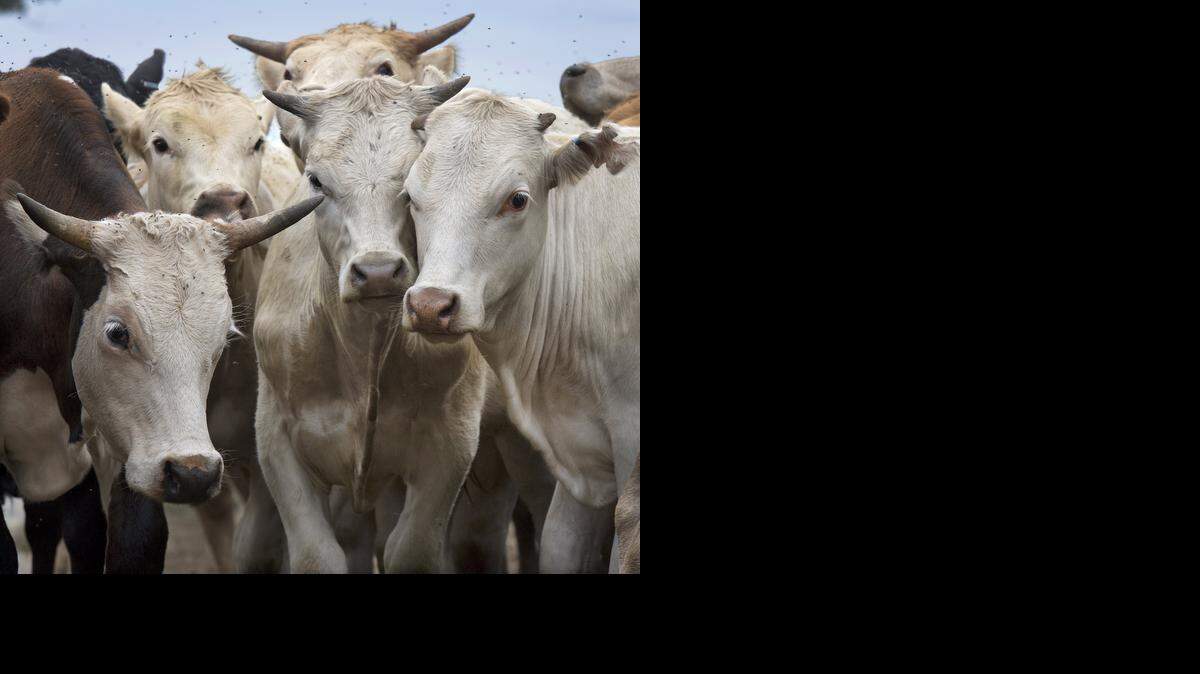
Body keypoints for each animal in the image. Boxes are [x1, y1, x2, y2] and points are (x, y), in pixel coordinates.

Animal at [254, 75, 487, 573]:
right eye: (316, 180)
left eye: (413, 180)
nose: (378, 271)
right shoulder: (277, 441)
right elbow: (318, 555)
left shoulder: (452, 446)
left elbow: (410, 550)